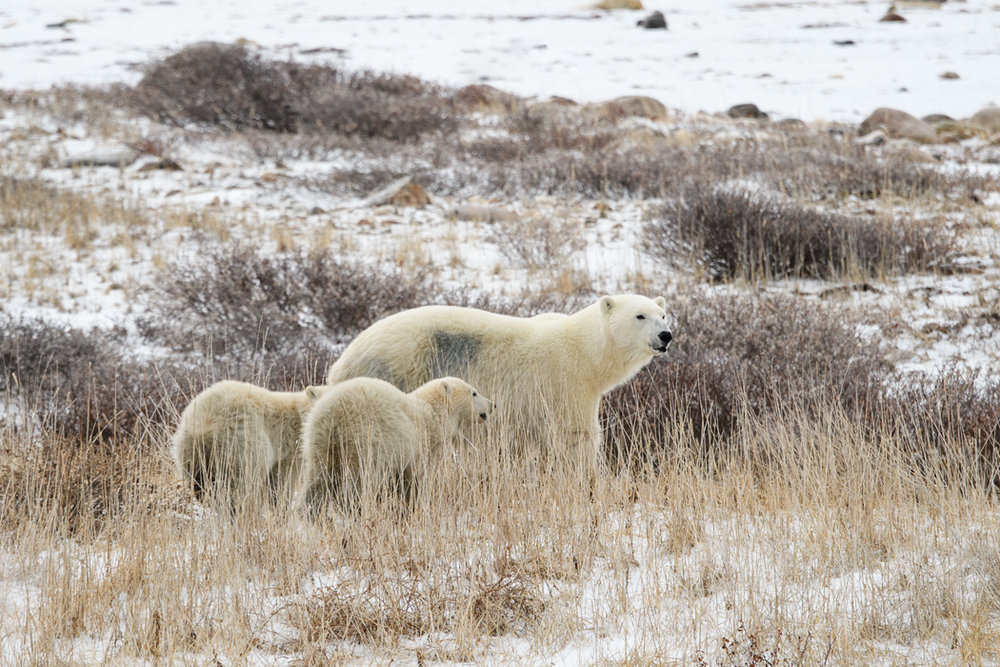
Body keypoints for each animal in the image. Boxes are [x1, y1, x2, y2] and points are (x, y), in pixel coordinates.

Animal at [171, 380, 325, 508]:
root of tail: (204, 429)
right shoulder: (287, 452)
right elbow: (280, 482)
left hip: (189, 453)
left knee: (202, 485)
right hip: (242, 447)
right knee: (240, 486)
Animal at [297, 376, 492, 513]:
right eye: (474, 392)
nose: (492, 405)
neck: (430, 414)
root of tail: (332, 415)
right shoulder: (413, 447)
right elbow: (413, 482)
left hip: (318, 445)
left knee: (316, 483)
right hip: (362, 443)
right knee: (356, 487)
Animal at [325, 294, 671, 470]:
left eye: (663, 314)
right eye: (640, 316)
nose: (666, 336)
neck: (586, 351)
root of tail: (343, 361)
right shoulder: (566, 385)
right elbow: (577, 439)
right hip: (397, 370)